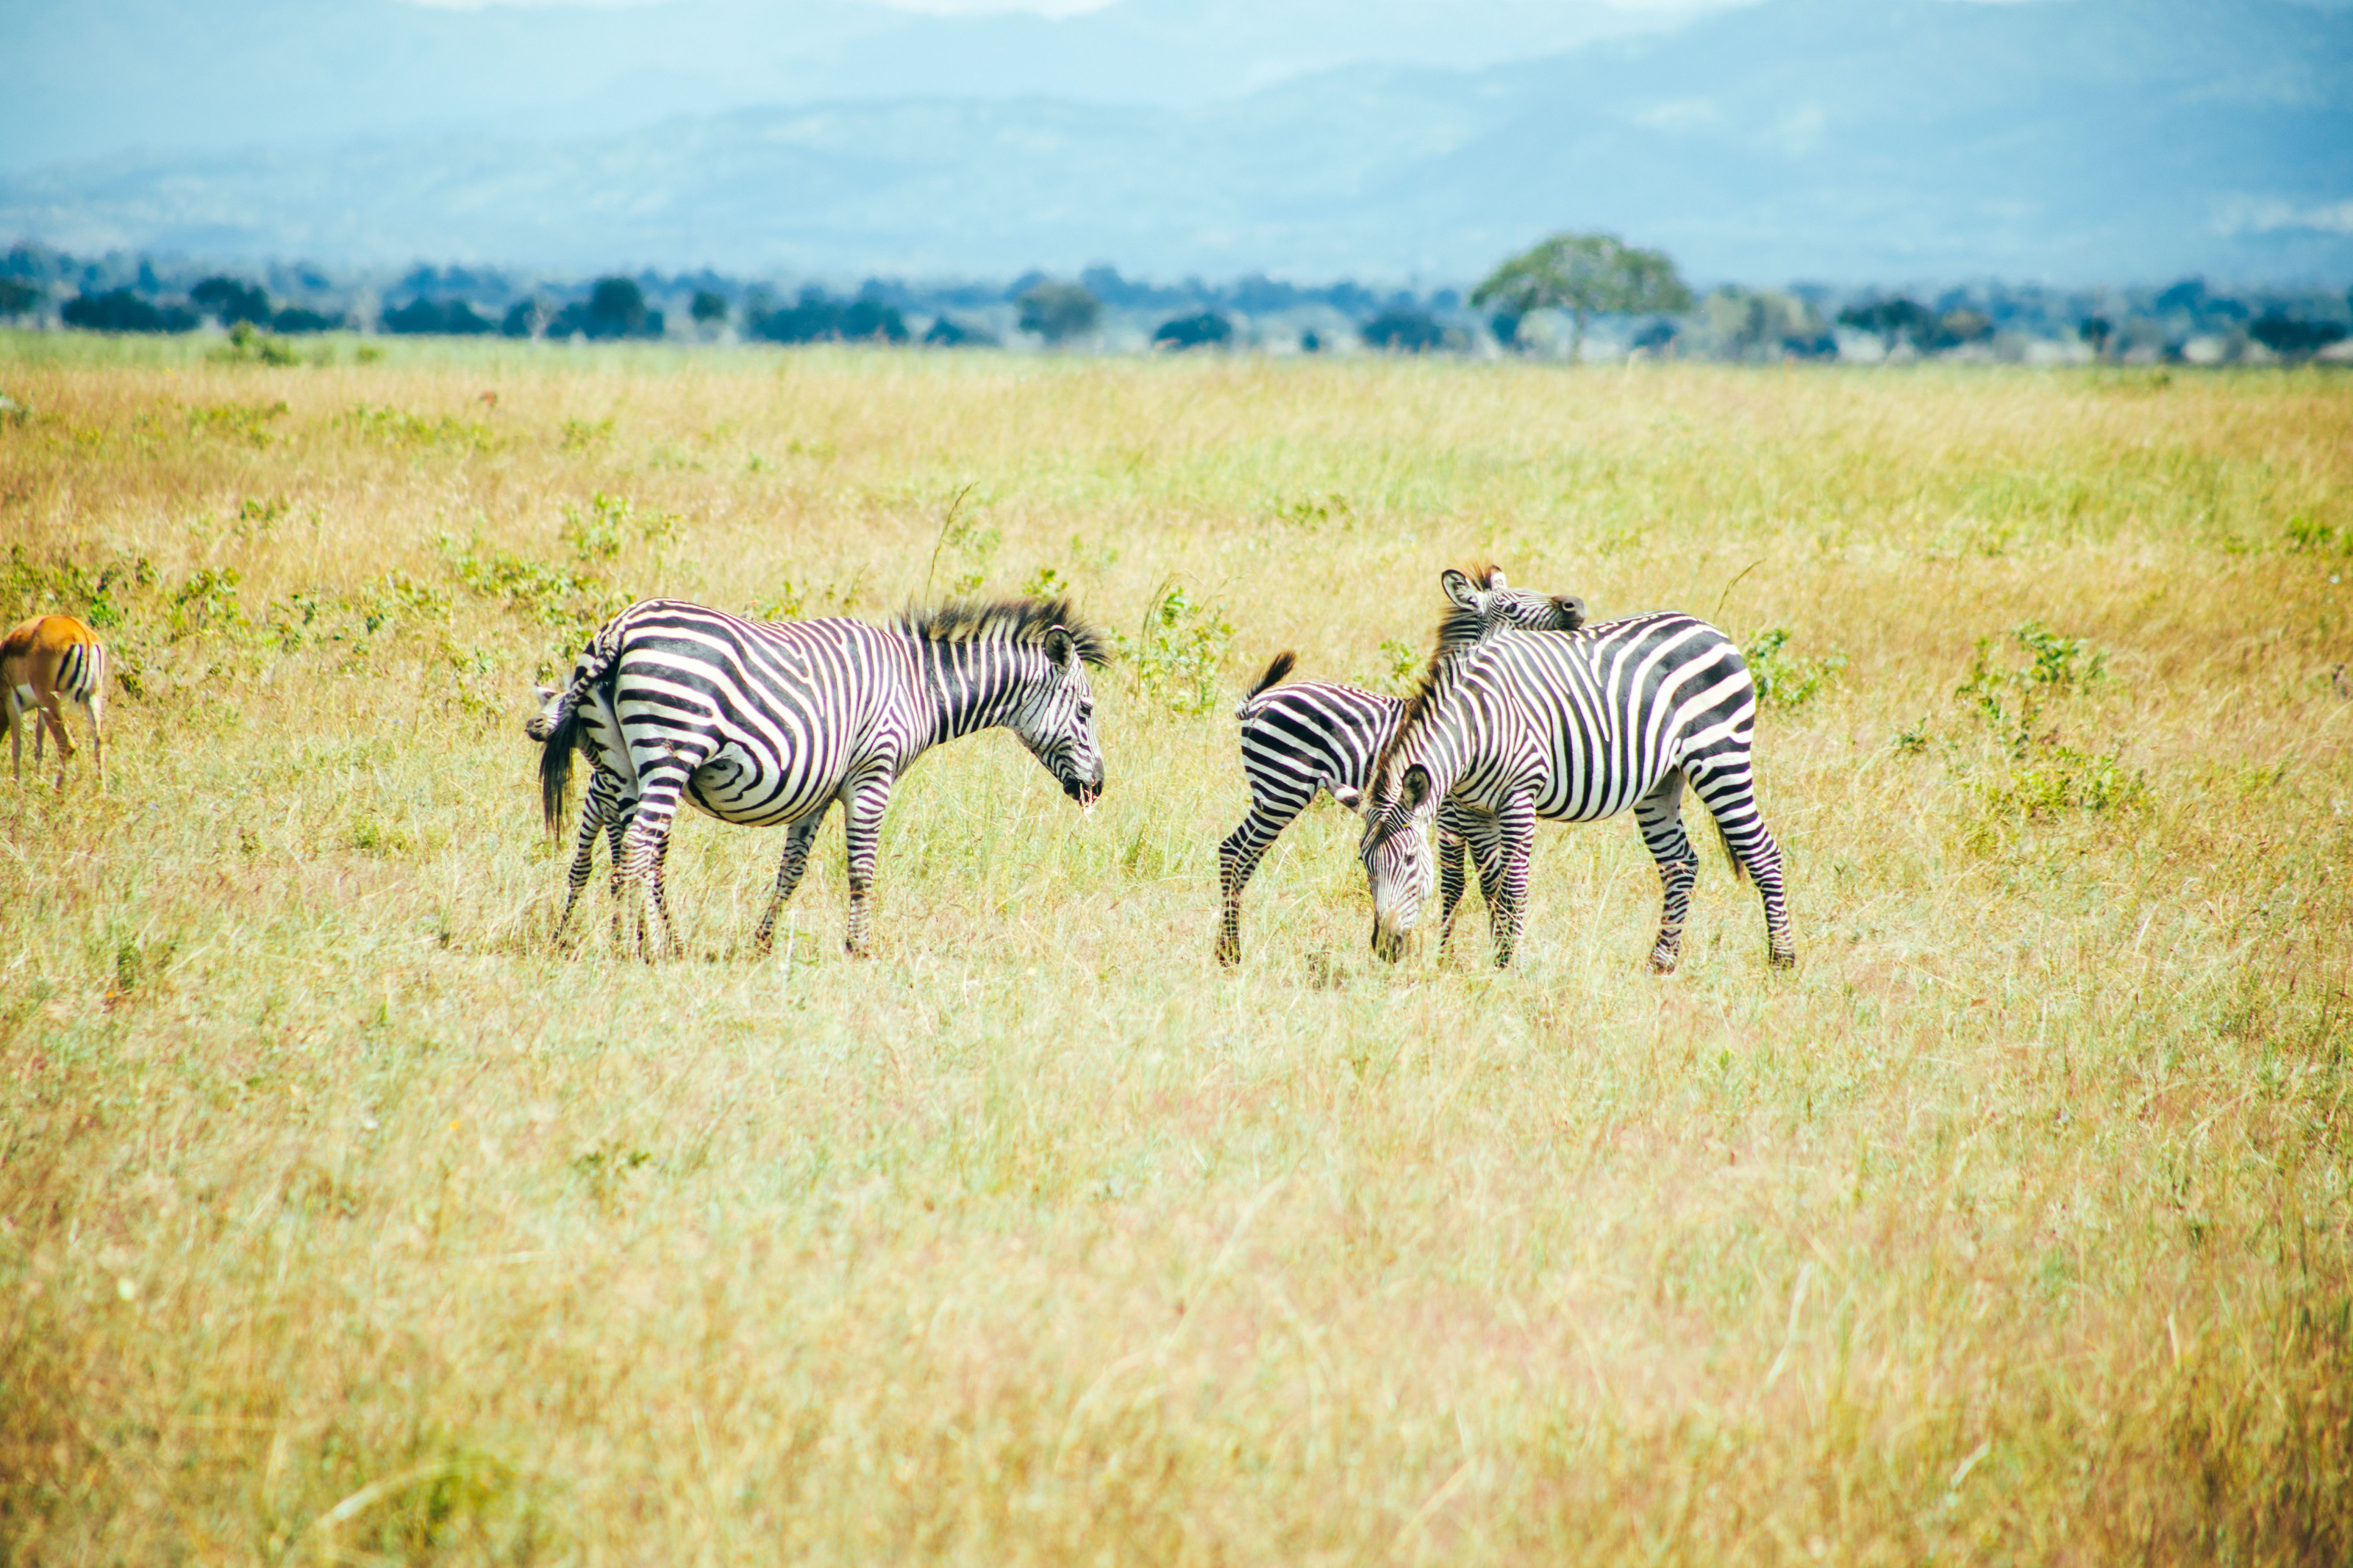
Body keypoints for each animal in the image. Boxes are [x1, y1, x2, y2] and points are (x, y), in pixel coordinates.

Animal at [527, 595, 1108, 958]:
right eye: (1086, 711)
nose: (1097, 788)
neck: (918, 687)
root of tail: (621, 626)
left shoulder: (818, 790)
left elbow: (792, 870)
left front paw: (762, 942)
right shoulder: (872, 774)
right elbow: (862, 869)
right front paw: (861, 947)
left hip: (620, 762)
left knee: (622, 845)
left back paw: (624, 939)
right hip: (670, 752)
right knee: (638, 849)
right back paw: (644, 948)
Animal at [1216, 567, 1586, 965]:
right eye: (1513, 605)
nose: (1576, 606)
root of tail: (1262, 702)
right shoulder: (1450, 814)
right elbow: (1455, 884)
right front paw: (1445, 960)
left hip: (1274, 793)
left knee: (1239, 853)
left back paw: (1229, 949)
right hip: (1281, 792)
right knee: (1237, 853)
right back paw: (1229, 954)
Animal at [1336, 598, 1795, 973]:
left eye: (1411, 859)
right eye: (1364, 863)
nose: (1386, 948)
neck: (1475, 726)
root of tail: (1709, 628)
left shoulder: (1518, 798)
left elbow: (1513, 886)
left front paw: (1508, 967)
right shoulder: (1473, 809)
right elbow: (1490, 883)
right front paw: (1497, 956)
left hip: (1720, 758)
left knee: (1762, 853)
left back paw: (1781, 960)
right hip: (1661, 783)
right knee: (1680, 863)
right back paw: (1661, 963)